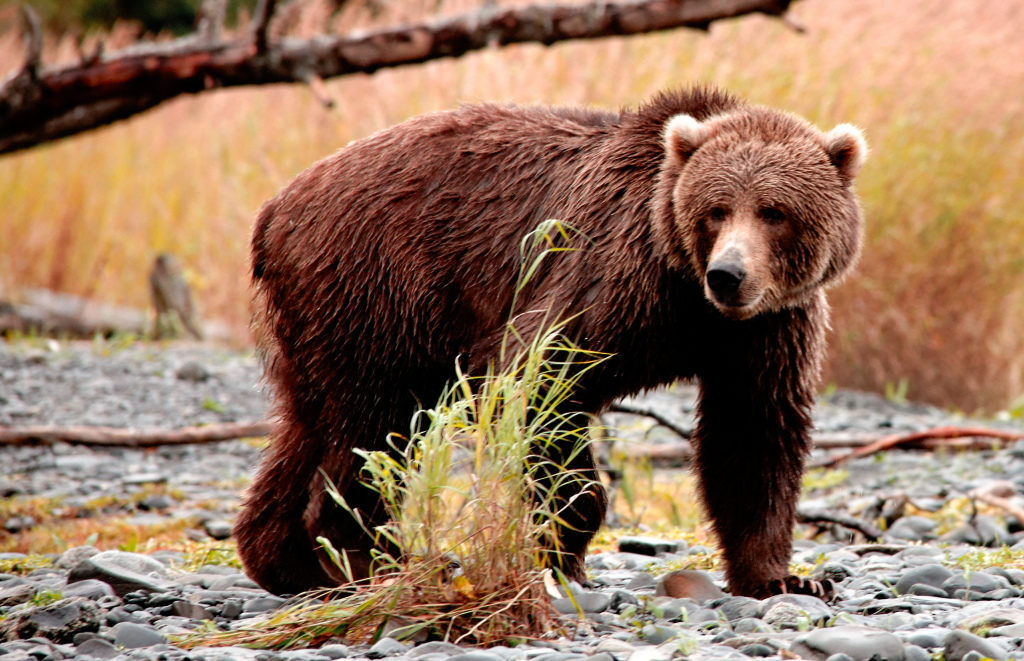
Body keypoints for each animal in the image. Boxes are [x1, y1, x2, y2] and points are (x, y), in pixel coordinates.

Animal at [235, 87, 868, 601]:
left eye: (774, 211)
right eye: (715, 210)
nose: (728, 275)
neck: (687, 296)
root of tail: (273, 211)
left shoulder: (766, 328)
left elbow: (753, 434)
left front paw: (783, 577)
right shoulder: (609, 279)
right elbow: (538, 381)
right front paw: (567, 548)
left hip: (327, 321)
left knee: (307, 428)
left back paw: (285, 560)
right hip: (378, 290)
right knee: (374, 429)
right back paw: (375, 560)